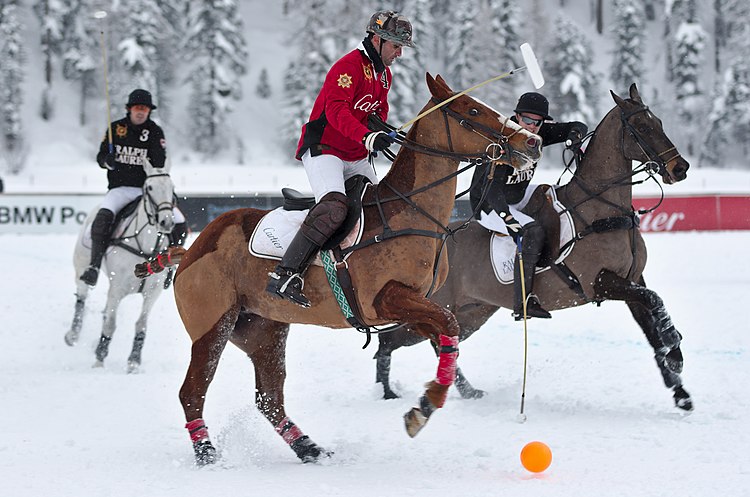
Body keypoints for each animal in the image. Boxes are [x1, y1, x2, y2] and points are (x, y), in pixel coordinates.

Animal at [65, 159, 176, 372]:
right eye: (150, 187)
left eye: (172, 188)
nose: (166, 222)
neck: (146, 246)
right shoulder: (117, 288)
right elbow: (110, 324)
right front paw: (99, 361)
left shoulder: (153, 292)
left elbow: (141, 324)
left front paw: (133, 362)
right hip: (81, 267)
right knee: (82, 297)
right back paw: (72, 335)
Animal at [147, 74, 544, 464]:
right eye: (472, 110)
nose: (534, 141)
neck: (412, 210)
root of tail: (194, 248)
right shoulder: (385, 299)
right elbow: (447, 325)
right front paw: (425, 406)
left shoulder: (415, 305)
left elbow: (448, 333)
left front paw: (425, 404)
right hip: (212, 325)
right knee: (192, 391)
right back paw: (206, 453)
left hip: (264, 329)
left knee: (269, 398)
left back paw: (309, 448)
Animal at [374, 83, 696, 410]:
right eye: (641, 127)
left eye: (659, 122)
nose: (679, 168)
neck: (602, 209)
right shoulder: (599, 282)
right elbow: (655, 302)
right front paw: (675, 348)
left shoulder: (632, 279)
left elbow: (651, 324)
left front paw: (679, 387)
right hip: (438, 307)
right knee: (390, 342)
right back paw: (387, 393)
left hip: (473, 312)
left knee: (436, 344)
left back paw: (463, 390)